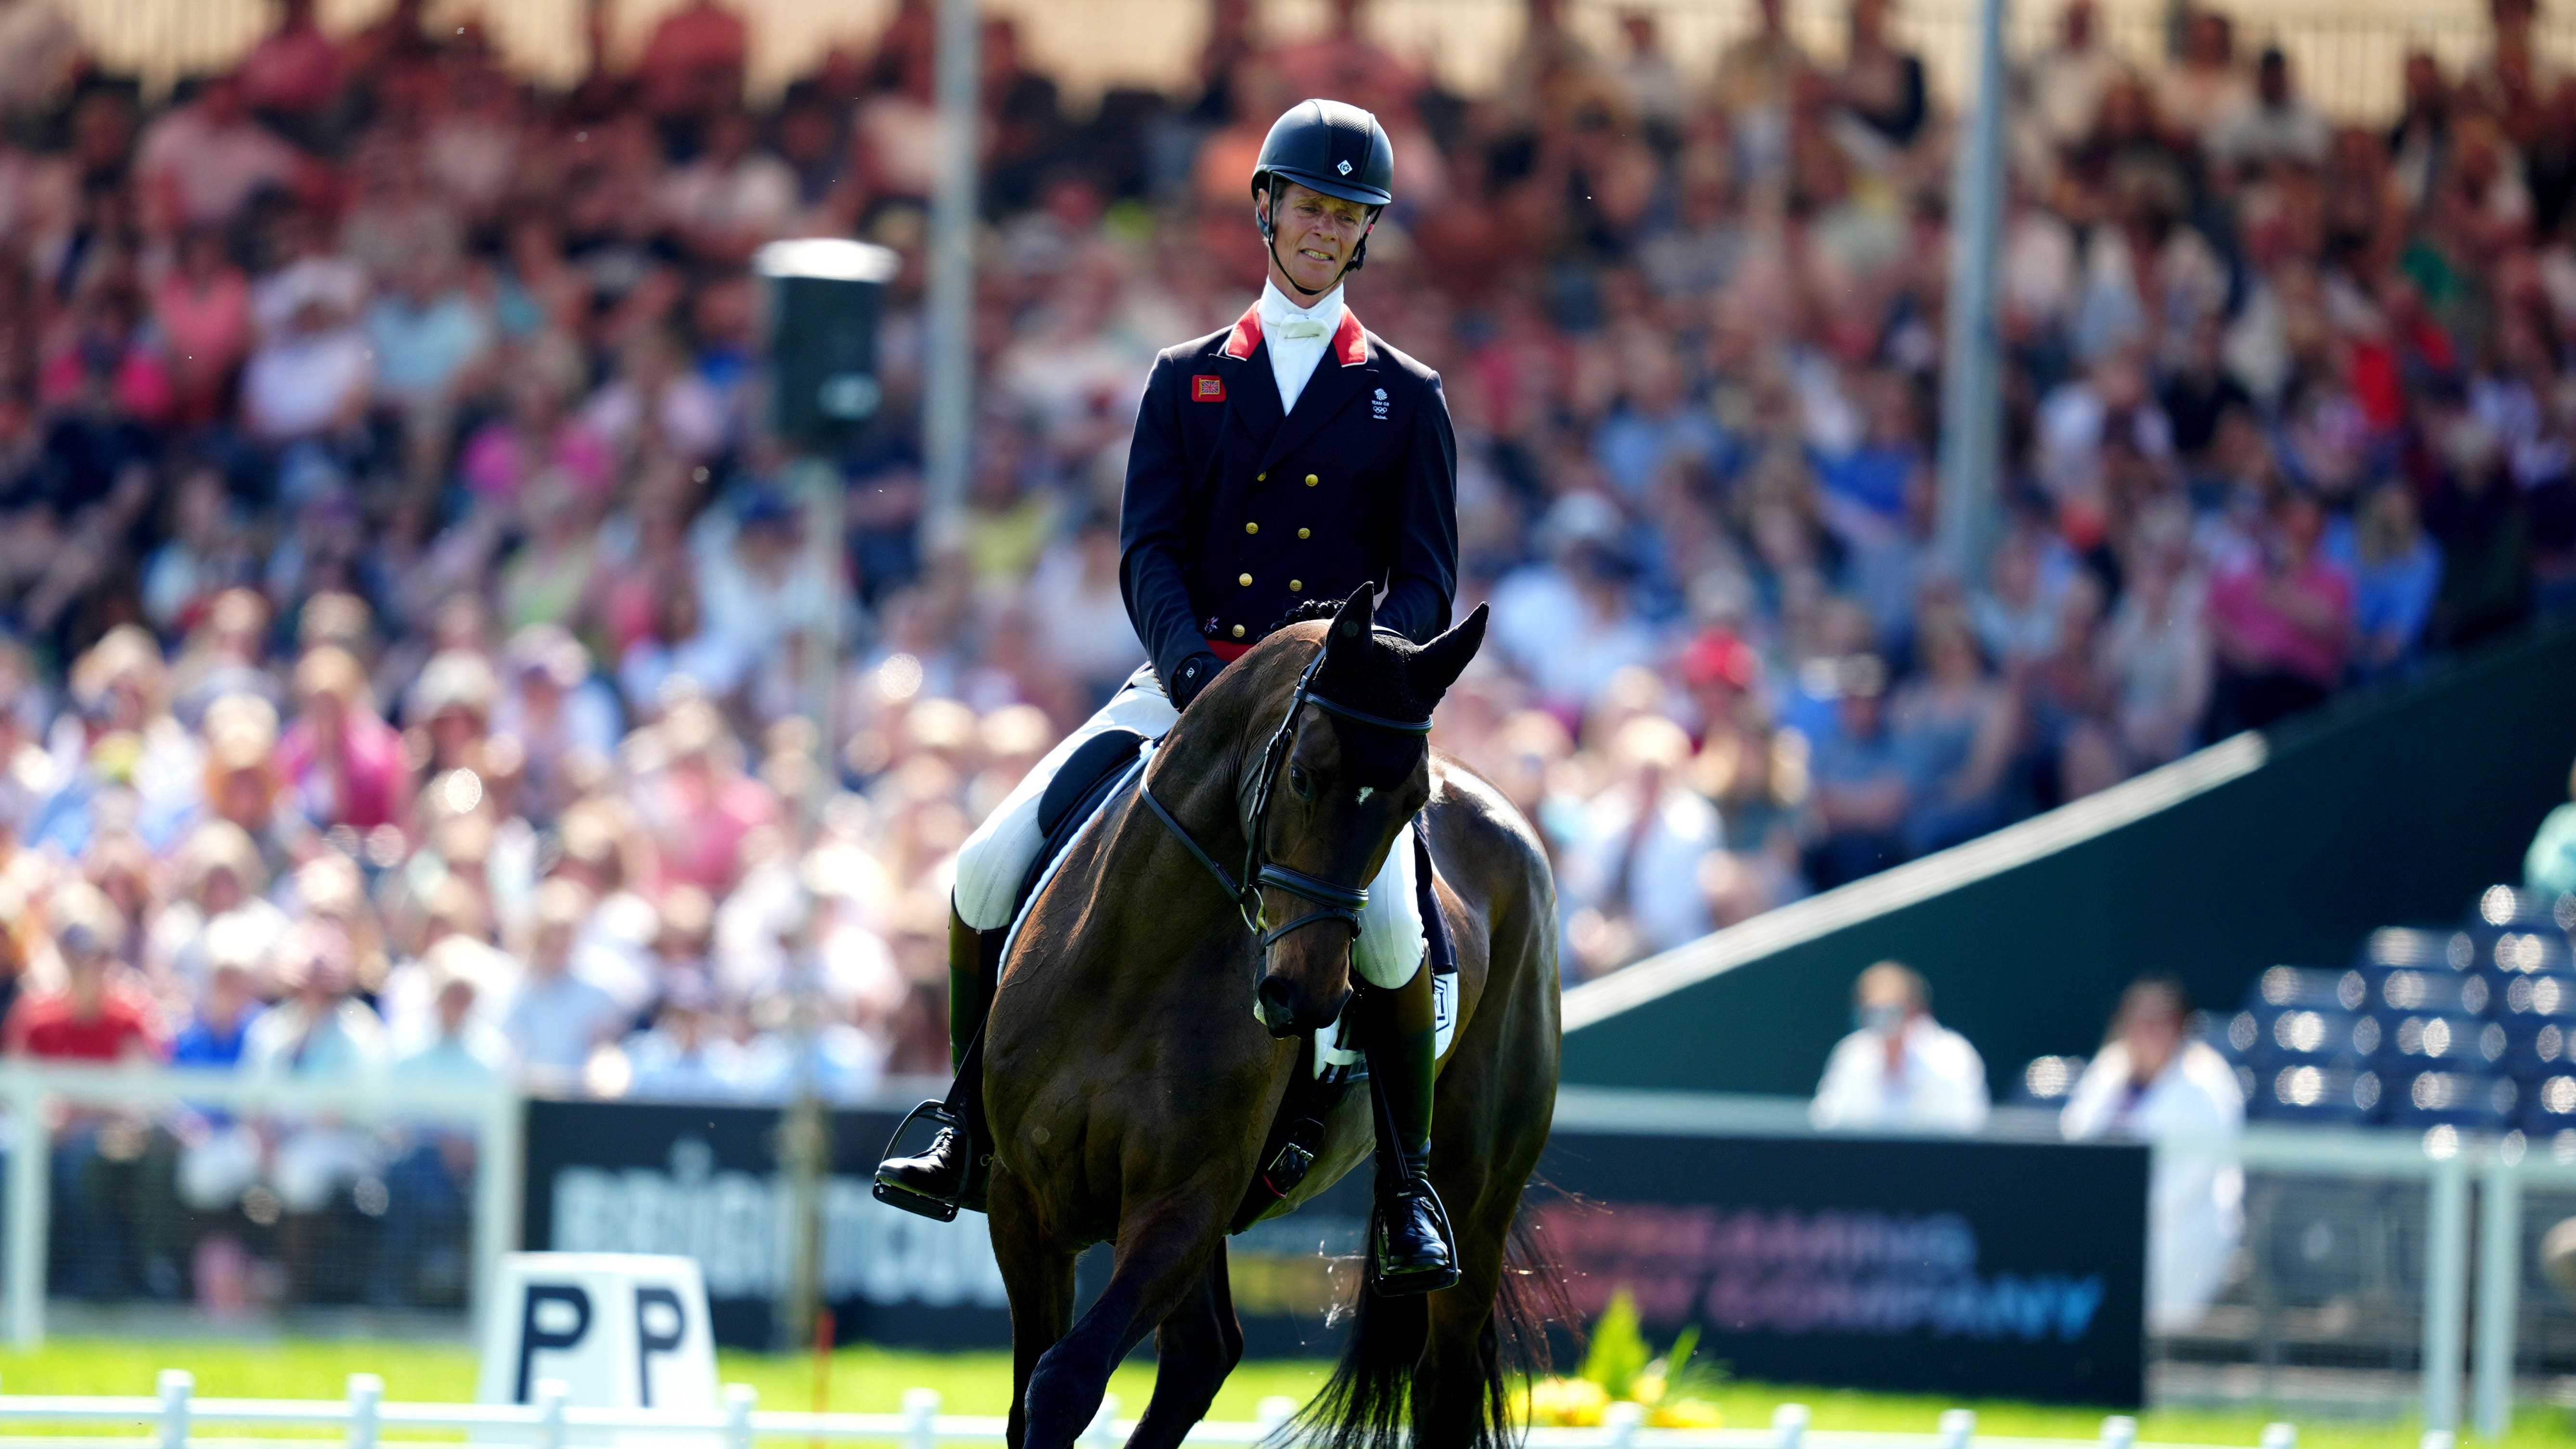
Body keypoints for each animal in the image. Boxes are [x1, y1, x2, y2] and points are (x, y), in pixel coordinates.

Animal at [979, 588, 1546, 1444]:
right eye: (1305, 777)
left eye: (1412, 802)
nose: (1307, 996)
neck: (1137, 959)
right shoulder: (1024, 1203)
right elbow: (1027, 1400)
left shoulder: (1184, 1202)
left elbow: (1065, 1379)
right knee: (1201, 1355)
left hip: (1478, 1199)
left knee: (1443, 1381)